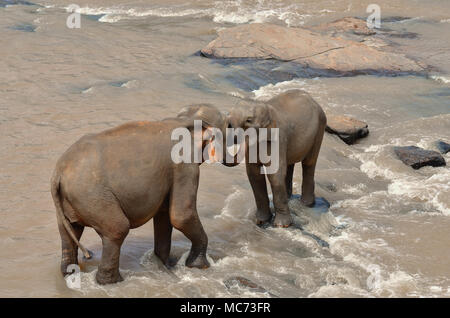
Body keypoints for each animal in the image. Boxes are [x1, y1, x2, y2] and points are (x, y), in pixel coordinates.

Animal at [50, 104, 229, 286]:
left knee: (69, 232)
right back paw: (113, 282)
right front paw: (200, 266)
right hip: (92, 196)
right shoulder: (184, 166)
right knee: (118, 229)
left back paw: (70, 273)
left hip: (71, 201)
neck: (184, 120)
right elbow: (181, 216)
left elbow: (164, 217)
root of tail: (59, 173)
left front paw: (166, 263)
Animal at [229, 90, 326, 229]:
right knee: (290, 164)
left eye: (248, 120)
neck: (266, 106)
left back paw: (307, 204)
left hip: (319, 130)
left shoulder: (278, 137)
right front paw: (261, 221)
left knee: (309, 163)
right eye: (228, 118)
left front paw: (282, 225)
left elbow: (274, 174)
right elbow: (254, 175)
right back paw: (290, 198)